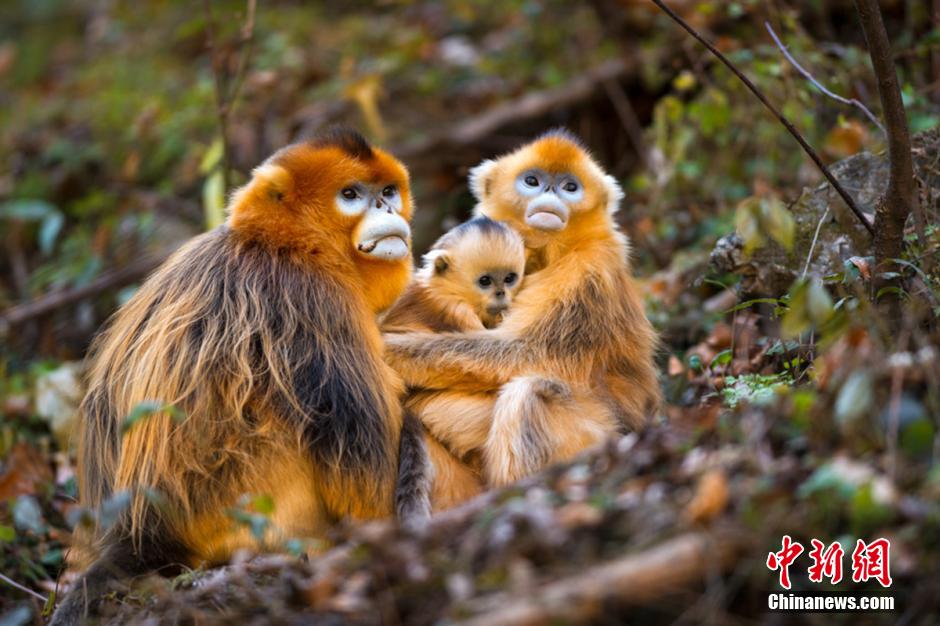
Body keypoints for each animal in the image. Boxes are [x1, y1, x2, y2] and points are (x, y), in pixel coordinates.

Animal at [47, 129, 422, 620]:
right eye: (351, 195)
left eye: (388, 191)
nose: (387, 208)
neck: (280, 244)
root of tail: (139, 536)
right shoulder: (313, 299)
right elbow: (360, 476)